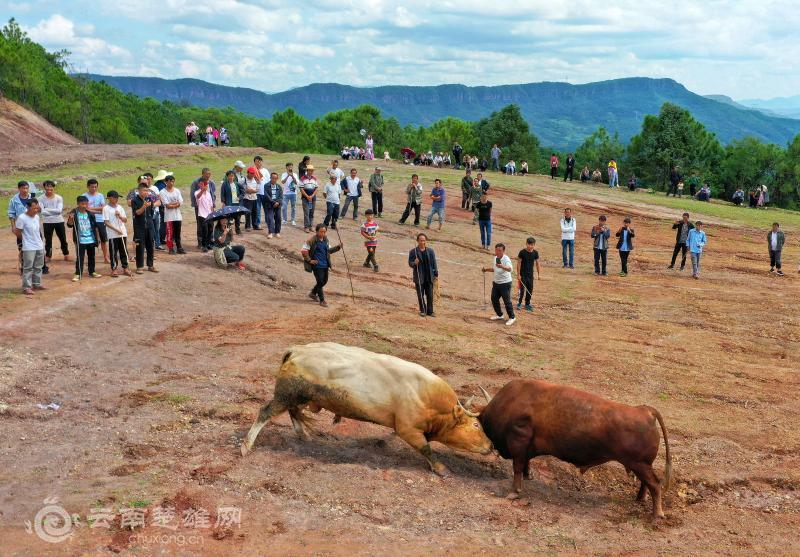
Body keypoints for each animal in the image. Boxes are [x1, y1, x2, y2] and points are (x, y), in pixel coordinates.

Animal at [239, 340, 494, 472]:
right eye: (476, 426)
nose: (491, 446)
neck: (426, 396)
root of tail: (297, 350)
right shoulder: (408, 429)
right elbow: (426, 448)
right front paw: (441, 468)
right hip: (286, 394)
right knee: (265, 412)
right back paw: (246, 446)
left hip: (297, 397)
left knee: (293, 412)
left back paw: (303, 435)